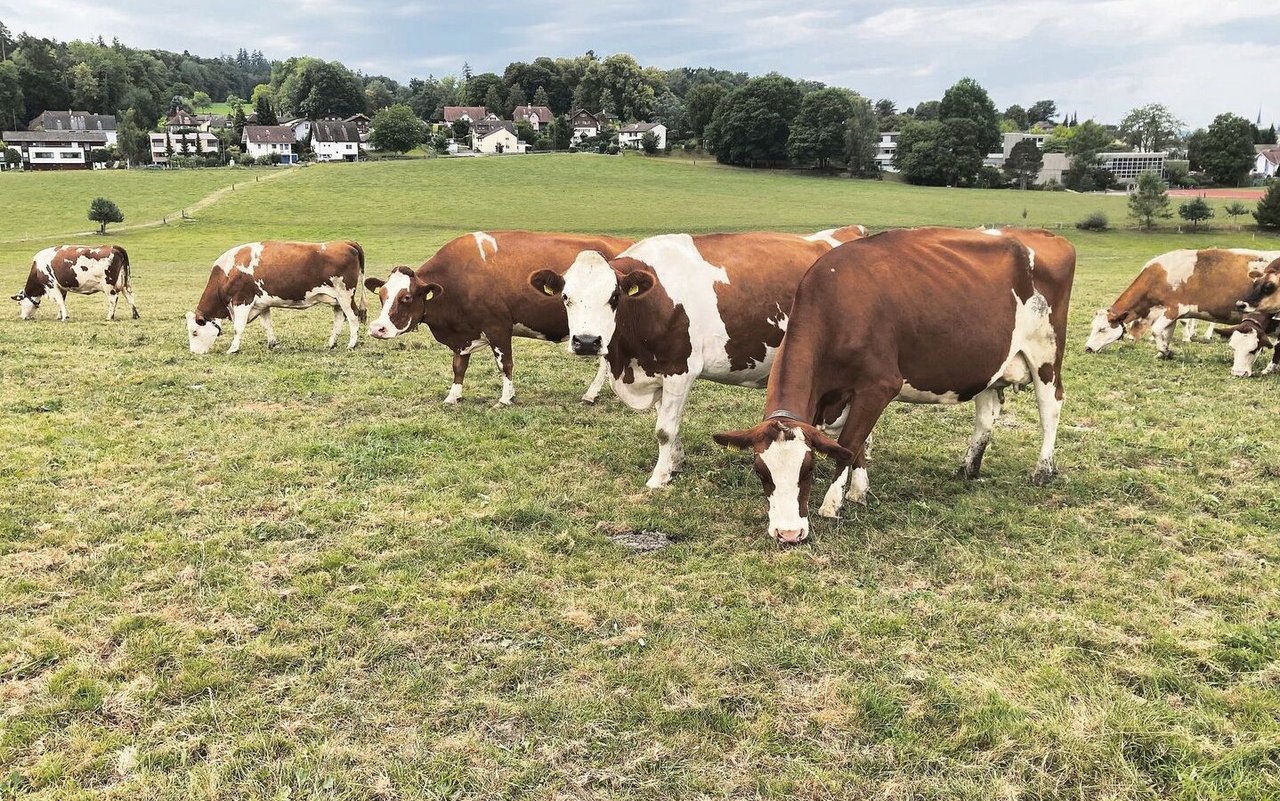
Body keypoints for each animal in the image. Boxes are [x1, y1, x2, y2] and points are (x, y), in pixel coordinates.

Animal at [185, 236, 366, 353]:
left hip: (345, 295)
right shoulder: (262, 304)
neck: (227, 271)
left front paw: (233, 349)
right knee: (339, 319)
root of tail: (345, 242)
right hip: (337, 300)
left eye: (194, 332)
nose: (194, 353)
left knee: (353, 317)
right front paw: (272, 344)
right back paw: (331, 343)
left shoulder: (242, 300)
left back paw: (351, 345)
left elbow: (238, 327)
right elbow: (267, 325)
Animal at [363, 230, 632, 404]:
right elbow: (458, 365)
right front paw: (453, 396)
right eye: (382, 295)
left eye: (406, 298)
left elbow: (505, 364)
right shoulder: (463, 335)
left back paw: (592, 394)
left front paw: (505, 398)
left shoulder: (498, 327)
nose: (377, 328)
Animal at [524, 222, 865, 486]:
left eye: (614, 296)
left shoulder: (679, 369)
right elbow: (668, 425)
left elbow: (664, 429)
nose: (586, 342)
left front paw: (659, 477)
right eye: (566, 297)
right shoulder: (657, 370)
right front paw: (674, 463)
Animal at [716, 227, 1075, 545]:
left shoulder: (879, 385)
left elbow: (850, 443)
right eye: (761, 473)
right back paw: (968, 468)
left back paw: (1043, 470)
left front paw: (833, 503)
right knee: (987, 413)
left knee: (1051, 406)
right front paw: (859, 491)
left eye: (808, 469)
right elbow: (857, 444)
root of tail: (1044, 235)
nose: (788, 534)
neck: (838, 303)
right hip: (991, 361)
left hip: (1046, 352)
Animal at [1080, 248, 1280, 358]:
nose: (1087, 348)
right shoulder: (1170, 313)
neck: (1159, 275)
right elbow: (1166, 333)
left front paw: (1165, 351)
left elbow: (1156, 330)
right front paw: (1163, 352)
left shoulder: (1173, 309)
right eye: (1092, 327)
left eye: (1102, 329)